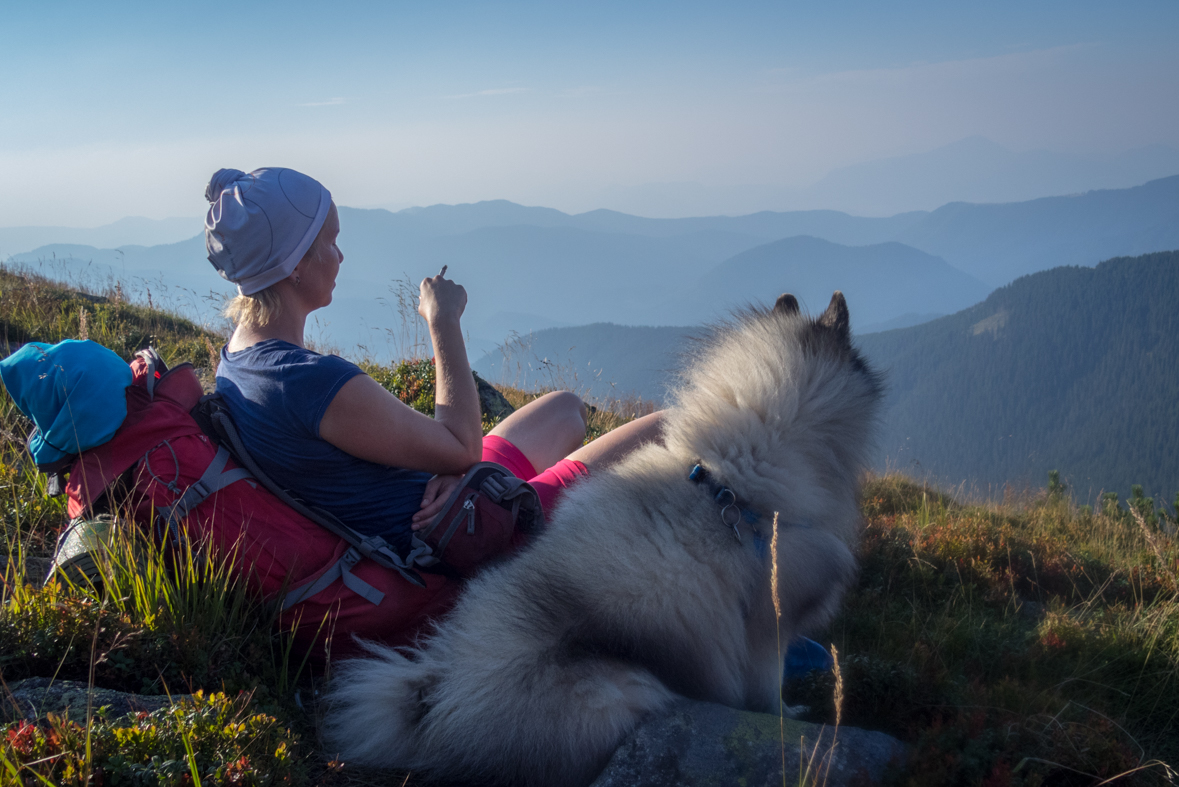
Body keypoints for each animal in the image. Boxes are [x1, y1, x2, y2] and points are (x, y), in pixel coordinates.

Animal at [327, 292, 881, 782]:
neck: (733, 489)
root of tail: (439, 706)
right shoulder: (768, 629)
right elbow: (769, 696)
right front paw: (793, 715)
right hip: (625, 690)